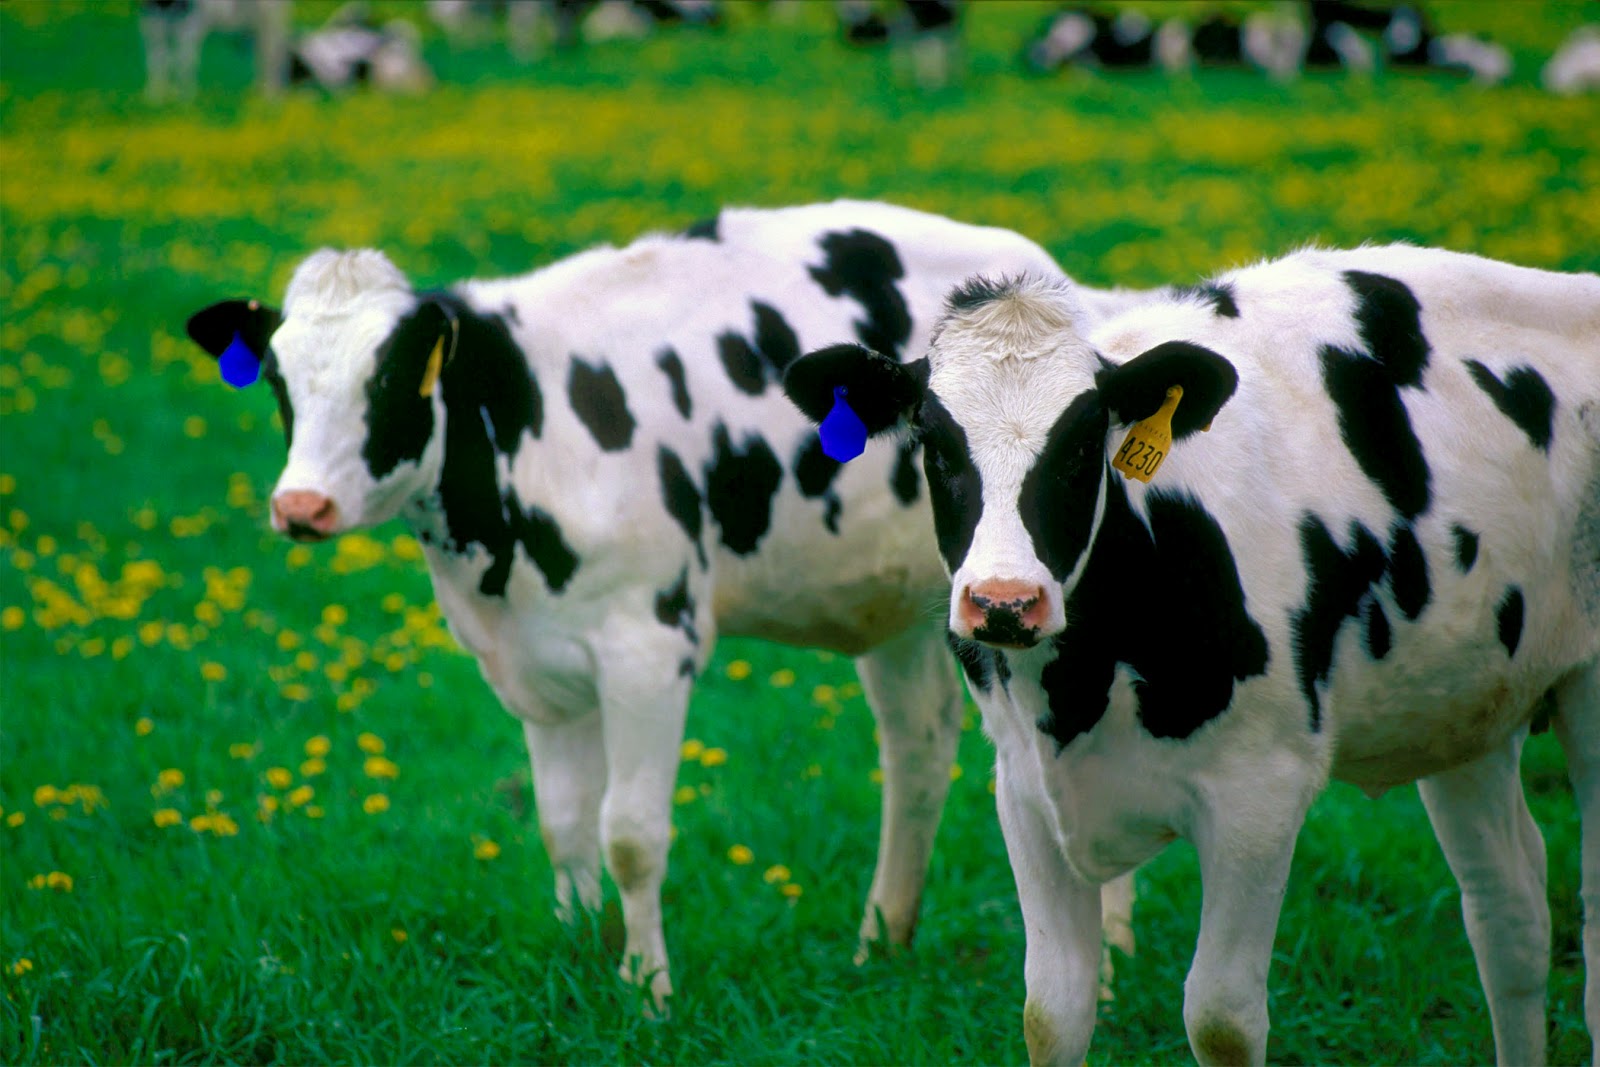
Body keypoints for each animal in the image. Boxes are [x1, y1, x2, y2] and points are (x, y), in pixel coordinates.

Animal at [182, 200, 1148, 1012]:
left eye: (390, 382)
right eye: (279, 381)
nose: (301, 506)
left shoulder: (649, 646)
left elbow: (631, 832)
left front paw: (647, 988)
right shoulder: (534, 659)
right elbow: (563, 822)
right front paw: (577, 950)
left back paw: (1112, 954)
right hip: (909, 608)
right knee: (916, 747)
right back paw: (882, 939)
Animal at [782, 244, 1600, 1064]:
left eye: (1085, 443)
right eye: (934, 443)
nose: (1005, 602)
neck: (1082, 691)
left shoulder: (1260, 794)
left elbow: (1221, 1018)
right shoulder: (1024, 791)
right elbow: (1051, 1011)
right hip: (1464, 707)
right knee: (1509, 914)